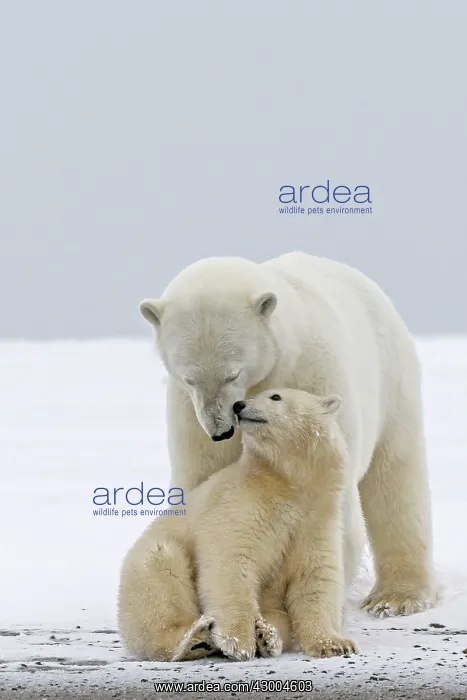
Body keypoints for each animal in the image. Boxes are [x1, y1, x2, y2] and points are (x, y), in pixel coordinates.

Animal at [118, 388, 357, 662]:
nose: (239, 405)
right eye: (257, 395)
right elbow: (231, 560)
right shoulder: (240, 500)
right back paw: (194, 640)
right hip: (144, 573)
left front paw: (335, 644)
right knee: (162, 574)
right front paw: (238, 641)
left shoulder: (317, 518)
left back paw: (267, 636)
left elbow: (315, 577)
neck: (287, 483)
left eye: (275, 397)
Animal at [139, 253, 436, 618]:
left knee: (395, 478)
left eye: (232, 373)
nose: (221, 430)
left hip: (392, 379)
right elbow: (204, 488)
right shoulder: (189, 416)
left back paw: (397, 597)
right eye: (189, 377)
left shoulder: (312, 380)